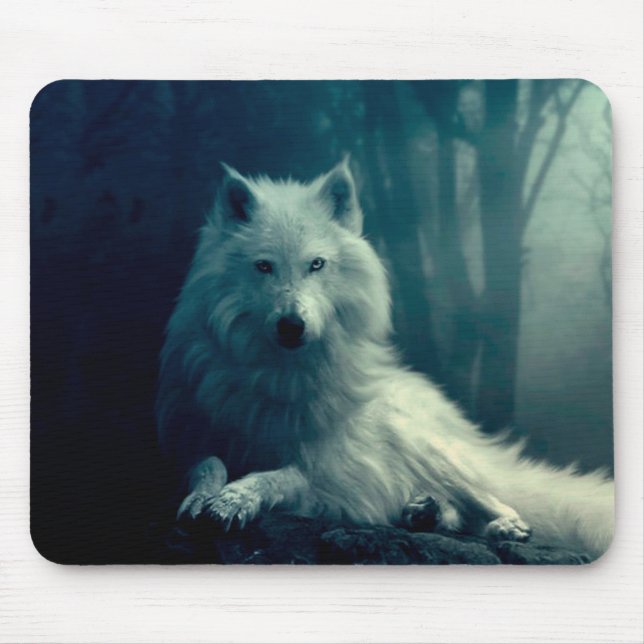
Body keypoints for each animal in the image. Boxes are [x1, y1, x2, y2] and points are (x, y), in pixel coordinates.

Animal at [156, 160, 614, 560]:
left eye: (316, 264)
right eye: (264, 266)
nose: (292, 326)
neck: (280, 376)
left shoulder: (326, 473)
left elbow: (277, 476)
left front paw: (235, 498)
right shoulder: (191, 440)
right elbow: (207, 464)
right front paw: (202, 497)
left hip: (423, 445)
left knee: (494, 499)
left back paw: (501, 524)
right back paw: (423, 512)